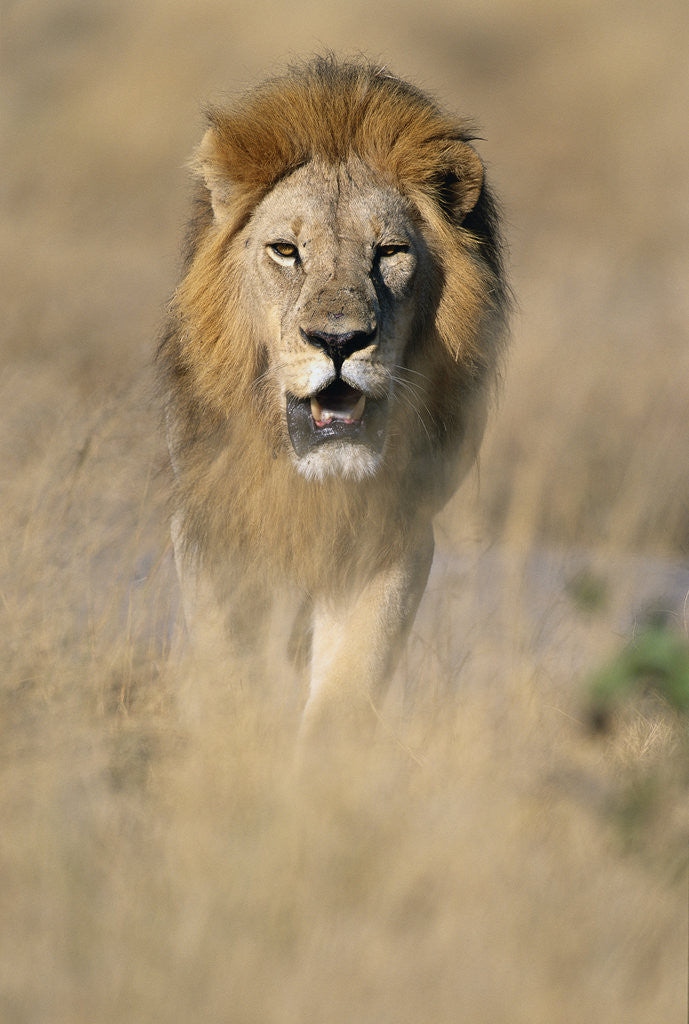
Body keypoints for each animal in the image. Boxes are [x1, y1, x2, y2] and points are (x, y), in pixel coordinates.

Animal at [158, 56, 509, 747]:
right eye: (286, 251)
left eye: (390, 252)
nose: (340, 341)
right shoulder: (214, 521)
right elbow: (228, 665)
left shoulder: (392, 533)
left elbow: (348, 687)